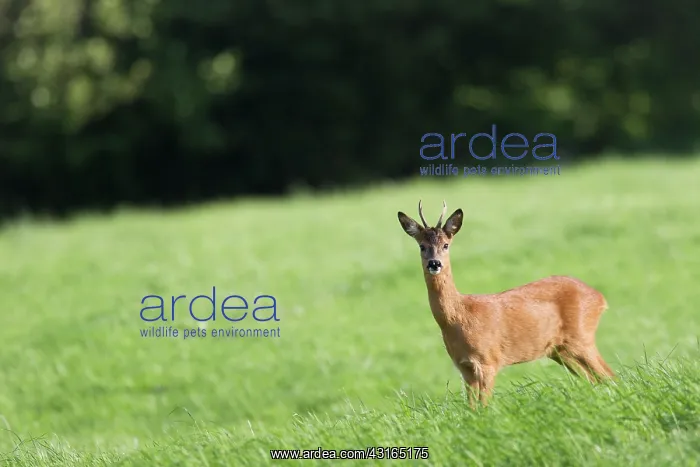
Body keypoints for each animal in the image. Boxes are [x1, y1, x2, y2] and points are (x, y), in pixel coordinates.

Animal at [397, 200, 615, 407]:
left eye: (446, 245)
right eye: (421, 246)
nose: (434, 264)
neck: (459, 318)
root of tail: (599, 298)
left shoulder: (489, 361)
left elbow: (484, 406)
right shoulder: (464, 367)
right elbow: (471, 408)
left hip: (582, 338)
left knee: (610, 376)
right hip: (560, 350)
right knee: (595, 379)